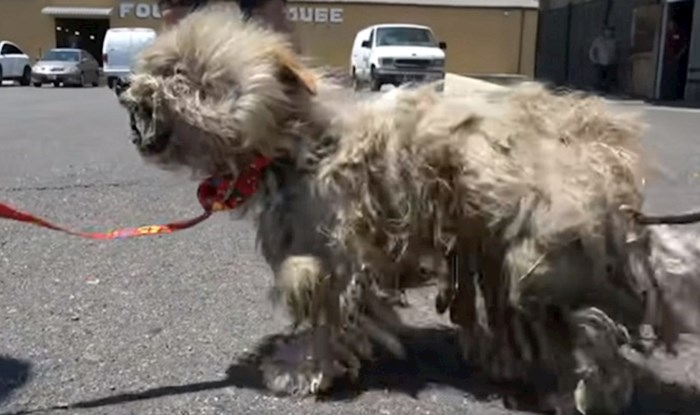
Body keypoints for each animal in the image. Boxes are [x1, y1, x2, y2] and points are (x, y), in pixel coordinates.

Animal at [117, 2, 700, 412]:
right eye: (159, 69)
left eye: (189, 79)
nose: (127, 89)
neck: (300, 144)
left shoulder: (332, 258)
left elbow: (324, 317)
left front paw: (299, 369)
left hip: (543, 265)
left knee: (597, 335)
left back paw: (580, 392)